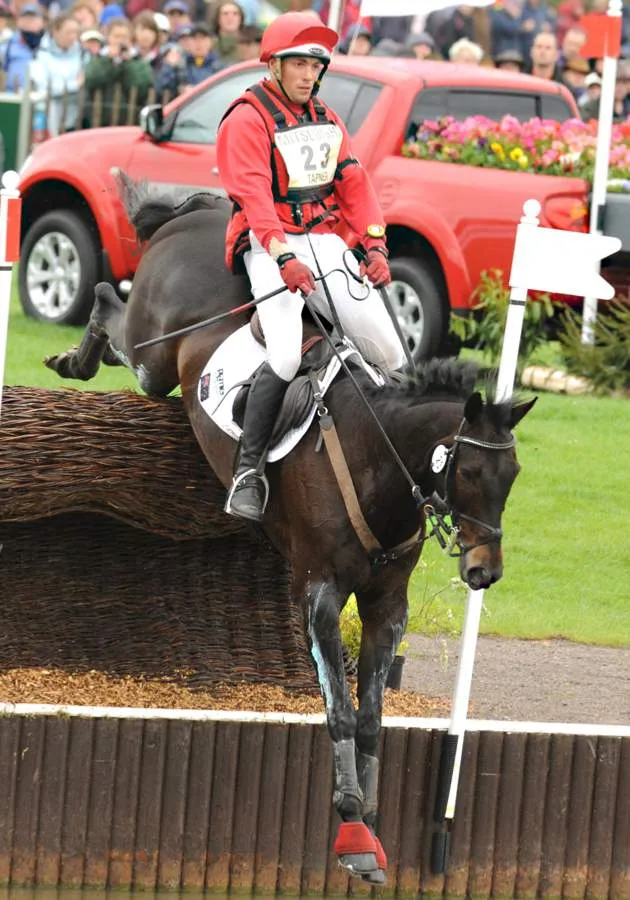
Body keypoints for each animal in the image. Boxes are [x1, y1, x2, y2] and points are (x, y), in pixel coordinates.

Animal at [45, 172, 540, 884]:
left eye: (514, 474)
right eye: (469, 471)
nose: (484, 571)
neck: (376, 460)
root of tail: (203, 214)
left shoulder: (388, 605)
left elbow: (371, 715)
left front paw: (373, 819)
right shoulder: (319, 594)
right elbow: (338, 708)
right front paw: (352, 829)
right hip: (152, 356)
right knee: (111, 304)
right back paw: (73, 356)